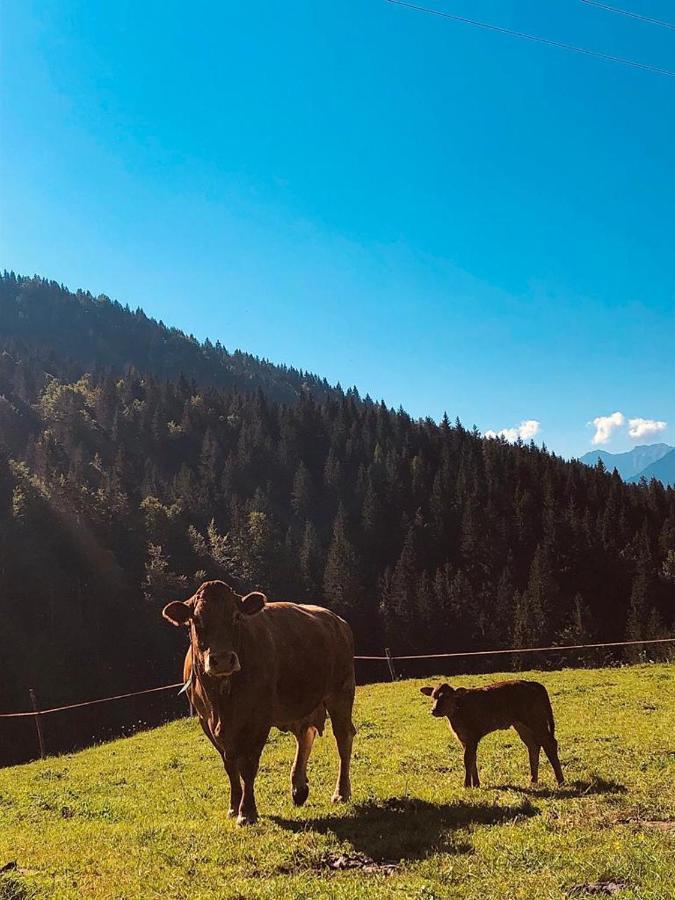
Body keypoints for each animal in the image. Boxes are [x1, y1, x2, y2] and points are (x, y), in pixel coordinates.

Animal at [163, 580, 356, 828]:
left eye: (236, 616)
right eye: (196, 620)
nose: (222, 660)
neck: (222, 702)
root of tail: (337, 620)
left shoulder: (258, 718)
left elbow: (248, 766)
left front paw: (247, 812)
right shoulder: (206, 721)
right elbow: (229, 766)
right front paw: (233, 807)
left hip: (341, 692)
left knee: (343, 737)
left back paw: (341, 792)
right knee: (305, 735)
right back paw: (299, 788)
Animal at [422, 684, 564, 788]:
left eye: (447, 697)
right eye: (433, 696)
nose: (434, 710)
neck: (458, 710)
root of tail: (536, 685)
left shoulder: (472, 737)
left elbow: (467, 760)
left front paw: (467, 785)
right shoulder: (464, 740)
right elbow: (473, 759)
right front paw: (476, 784)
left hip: (536, 721)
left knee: (550, 743)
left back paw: (560, 780)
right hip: (522, 726)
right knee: (533, 746)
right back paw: (533, 781)